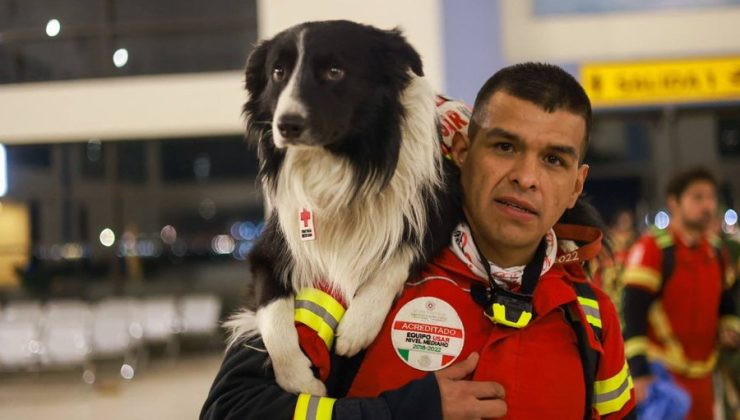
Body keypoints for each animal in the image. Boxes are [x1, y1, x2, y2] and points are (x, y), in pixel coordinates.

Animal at [228, 19, 462, 394]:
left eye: (335, 71)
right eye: (278, 72)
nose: (286, 125)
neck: (340, 166)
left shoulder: (439, 211)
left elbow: (397, 257)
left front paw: (358, 325)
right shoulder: (268, 249)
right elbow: (273, 315)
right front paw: (301, 382)